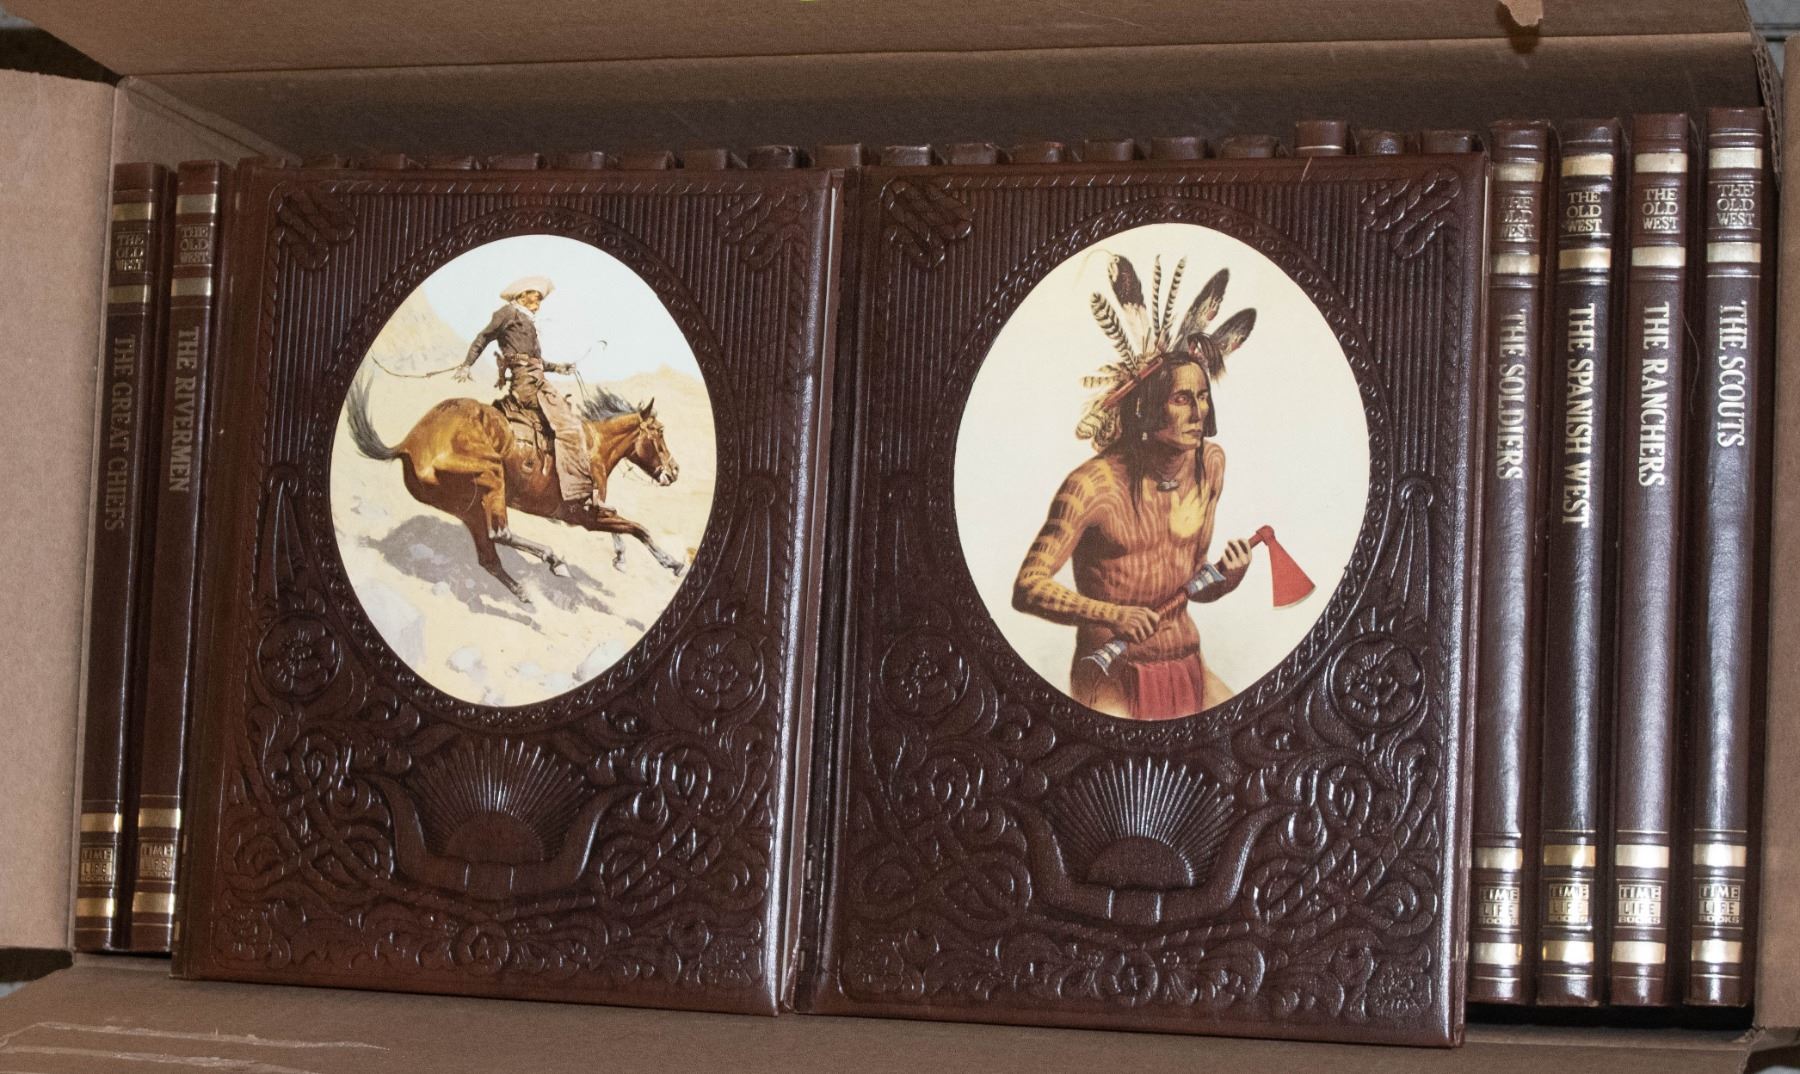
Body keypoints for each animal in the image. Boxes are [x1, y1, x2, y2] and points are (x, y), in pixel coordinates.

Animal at [344, 372, 686, 606]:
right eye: (659, 432)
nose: (674, 471)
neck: (594, 445)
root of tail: (409, 444)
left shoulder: (590, 511)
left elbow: (622, 523)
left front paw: (622, 557)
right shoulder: (582, 515)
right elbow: (637, 527)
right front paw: (672, 563)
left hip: (468, 507)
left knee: (488, 556)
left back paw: (523, 592)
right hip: (493, 476)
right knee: (501, 534)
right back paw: (553, 560)